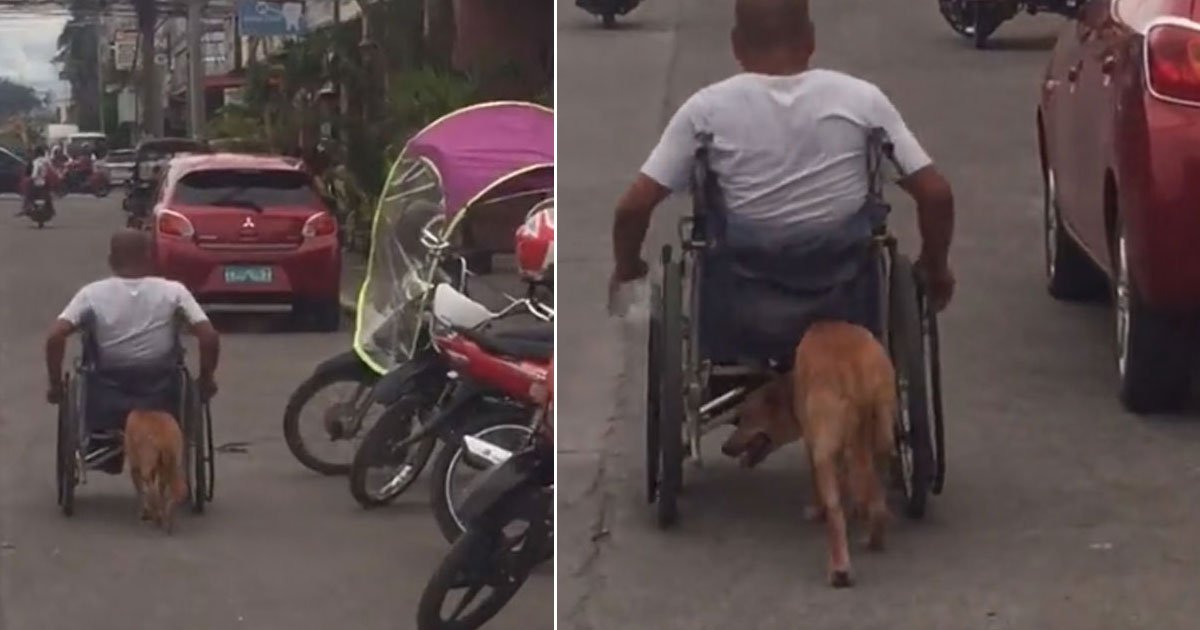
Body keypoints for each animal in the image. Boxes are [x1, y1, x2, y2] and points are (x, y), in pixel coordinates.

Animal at [715, 321, 897, 588]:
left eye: (743, 418)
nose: (724, 448)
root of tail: (854, 367)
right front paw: (857, 508)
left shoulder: (815, 445)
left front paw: (819, 510)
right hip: (884, 433)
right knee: (876, 493)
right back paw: (874, 534)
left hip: (827, 449)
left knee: (836, 511)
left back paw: (840, 567)